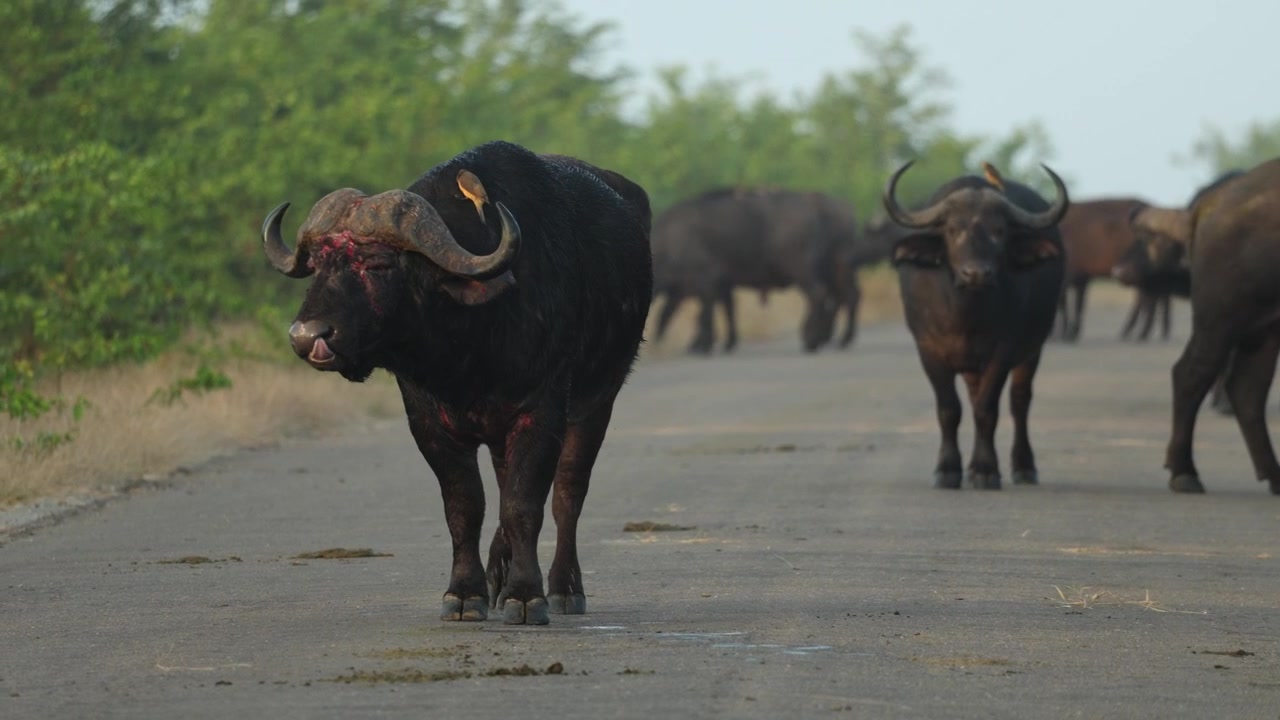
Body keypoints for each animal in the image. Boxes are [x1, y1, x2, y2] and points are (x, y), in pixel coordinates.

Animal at [260, 140, 653, 623]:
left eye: (377, 263)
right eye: (318, 264)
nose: (307, 336)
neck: (470, 350)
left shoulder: (542, 414)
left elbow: (525, 505)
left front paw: (527, 596)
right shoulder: (428, 423)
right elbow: (466, 506)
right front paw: (467, 593)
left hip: (598, 403)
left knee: (567, 494)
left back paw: (565, 588)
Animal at [884, 161, 1068, 489]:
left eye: (999, 231)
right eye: (952, 229)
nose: (976, 274)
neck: (966, 315)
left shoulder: (1003, 352)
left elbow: (986, 410)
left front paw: (984, 470)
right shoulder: (928, 350)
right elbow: (949, 409)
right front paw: (947, 470)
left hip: (1033, 349)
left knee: (1019, 402)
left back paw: (1023, 467)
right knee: (971, 397)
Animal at [1127, 159, 1280, 494]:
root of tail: (1212, 203)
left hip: (1262, 330)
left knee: (1247, 389)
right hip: (1220, 320)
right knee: (1192, 374)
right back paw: (1184, 473)